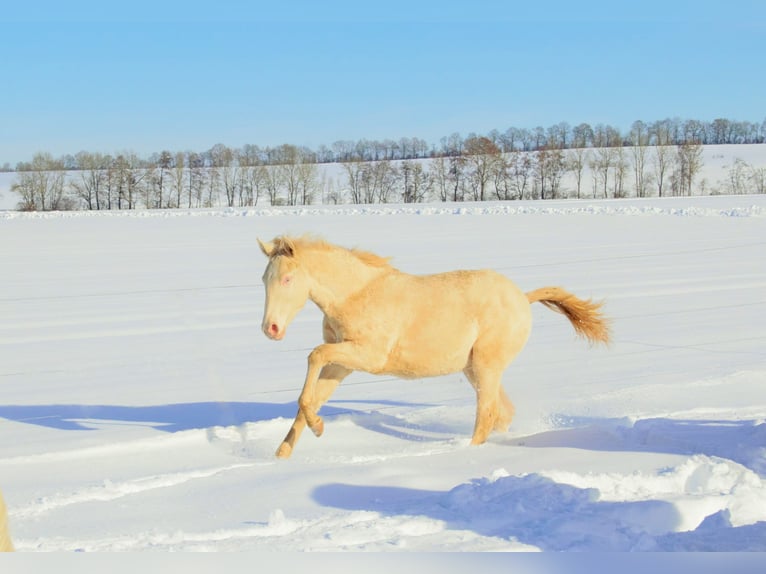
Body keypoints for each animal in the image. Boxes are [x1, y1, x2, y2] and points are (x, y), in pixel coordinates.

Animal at [258, 234, 612, 460]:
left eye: (287, 279)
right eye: (264, 279)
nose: (270, 329)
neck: (356, 295)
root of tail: (523, 298)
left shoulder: (369, 356)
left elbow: (313, 356)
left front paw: (317, 429)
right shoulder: (342, 362)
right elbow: (311, 396)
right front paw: (282, 454)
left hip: (486, 366)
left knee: (487, 413)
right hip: (474, 369)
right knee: (503, 412)